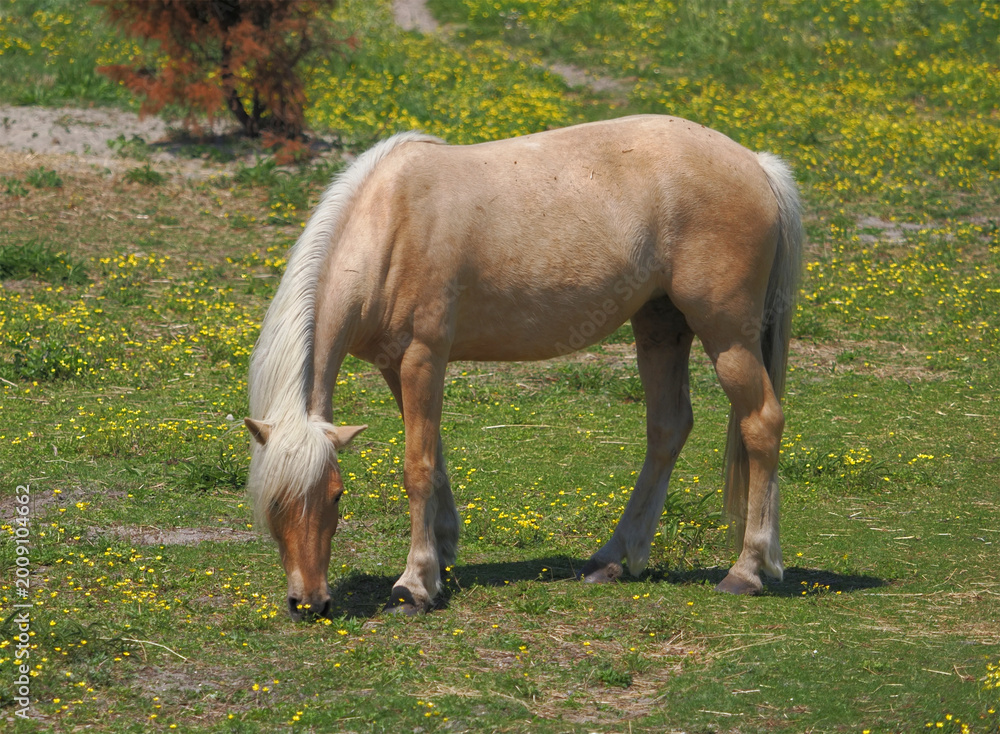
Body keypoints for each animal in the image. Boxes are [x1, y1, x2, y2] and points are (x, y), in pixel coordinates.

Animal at [244, 115, 803, 620]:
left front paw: (414, 585)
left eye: (337, 495)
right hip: (660, 325)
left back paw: (747, 570)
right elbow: (435, 455)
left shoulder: (424, 356)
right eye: (272, 502)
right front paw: (442, 553)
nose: (308, 602)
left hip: (727, 336)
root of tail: (758, 165)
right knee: (667, 429)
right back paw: (614, 559)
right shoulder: (394, 365)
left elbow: (417, 467)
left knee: (761, 423)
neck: (392, 223)